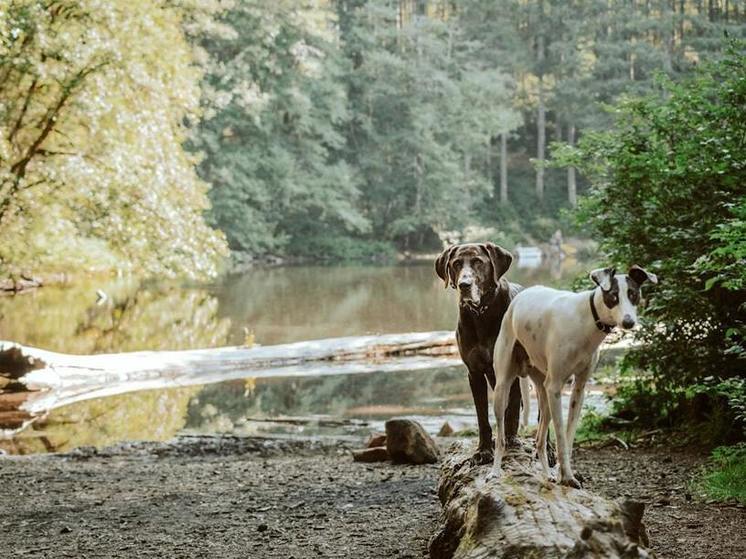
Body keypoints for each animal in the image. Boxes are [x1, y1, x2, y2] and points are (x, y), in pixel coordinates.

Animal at [434, 243, 520, 466]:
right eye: (456, 263)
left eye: (478, 262)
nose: (464, 285)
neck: (482, 313)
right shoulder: (474, 373)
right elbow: (482, 417)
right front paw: (483, 450)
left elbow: (510, 408)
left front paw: (508, 442)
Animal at [488, 264, 656, 488]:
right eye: (613, 296)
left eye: (633, 294)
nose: (629, 322)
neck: (586, 320)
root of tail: (519, 297)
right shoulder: (556, 387)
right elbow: (560, 436)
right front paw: (567, 477)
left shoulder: (579, 388)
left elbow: (568, 437)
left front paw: (563, 474)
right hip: (503, 388)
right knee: (500, 438)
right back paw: (495, 471)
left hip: (544, 394)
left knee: (539, 440)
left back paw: (547, 474)